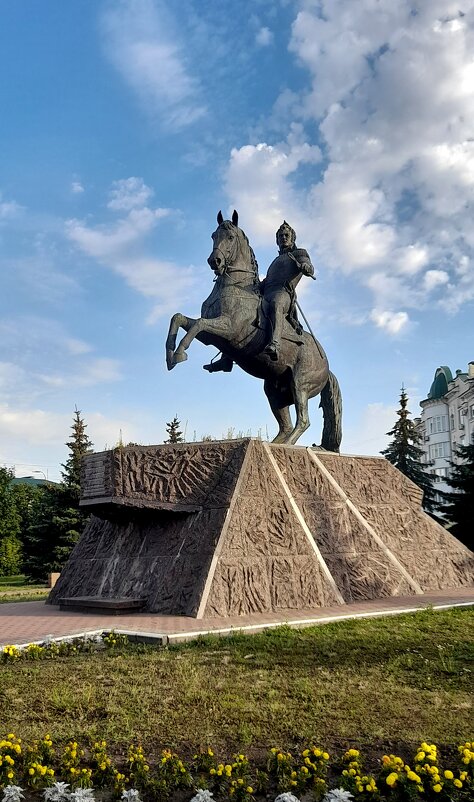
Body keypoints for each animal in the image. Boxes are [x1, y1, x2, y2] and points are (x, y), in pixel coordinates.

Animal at [166, 211, 340, 450]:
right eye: (213, 235)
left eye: (230, 237)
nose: (214, 261)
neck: (236, 287)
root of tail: (327, 366)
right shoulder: (212, 335)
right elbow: (180, 318)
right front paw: (170, 355)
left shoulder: (229, 330)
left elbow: (198, 323)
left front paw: (179, 354)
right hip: (275, 392)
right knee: (285, 425)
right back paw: (270, 444)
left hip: (300, 384)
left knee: (303, 420)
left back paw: (285, 446)